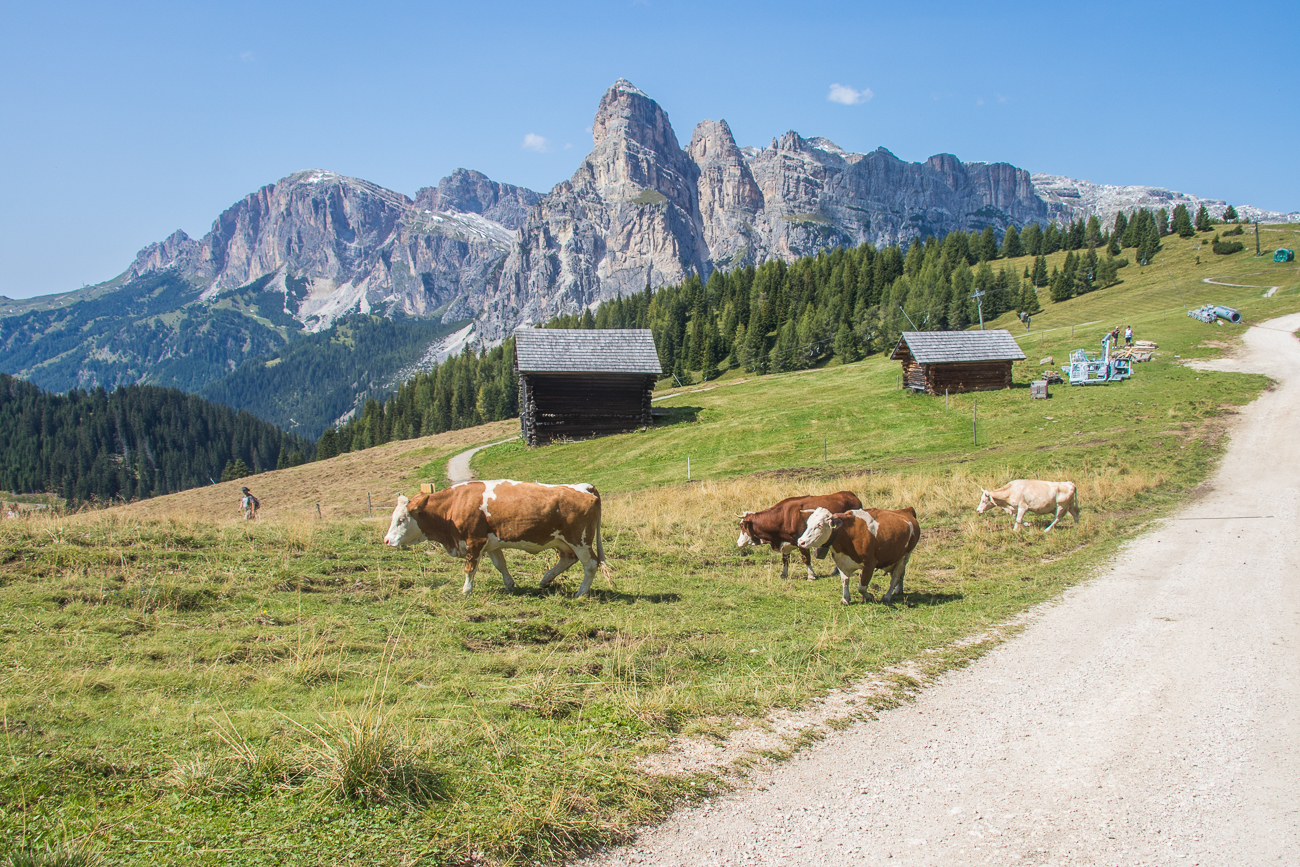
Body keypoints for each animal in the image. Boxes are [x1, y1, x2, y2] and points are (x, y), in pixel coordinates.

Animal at [383, 479, 605, 597]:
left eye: (401, 519)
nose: (386, 540)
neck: (455, 504)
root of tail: (584, 487)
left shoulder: (474, 541)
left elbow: (470, 568)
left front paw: (466, 591)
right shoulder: (492, 544)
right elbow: (501, 565)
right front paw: (510, 584)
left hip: (580, 541)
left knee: (590, 565)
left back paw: (580, 592)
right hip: (563, 541)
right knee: (568, 558)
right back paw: (545, 579)